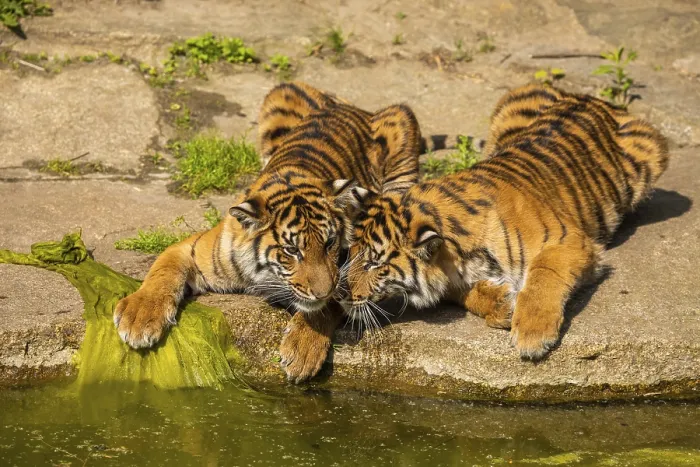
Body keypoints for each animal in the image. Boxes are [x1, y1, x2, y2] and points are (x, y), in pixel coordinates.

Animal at [114, 82, 422, 381]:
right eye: (292, 250)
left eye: (330, 243)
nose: (322, 292)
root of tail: (350, 106)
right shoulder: (193, 249)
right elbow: (162, 273)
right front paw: (140, 318)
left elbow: (331, 304)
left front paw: (302, 350)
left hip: (402, 121)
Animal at [344, 84, 669, 360]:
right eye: (351, 253)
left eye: (375, 264)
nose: (340, 296)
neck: (456, 253)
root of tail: (590, 97)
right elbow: (461, 293)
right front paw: (500, 304)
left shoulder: (568, 241)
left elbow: (543, 275)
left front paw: (533, 334)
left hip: (653, 149)